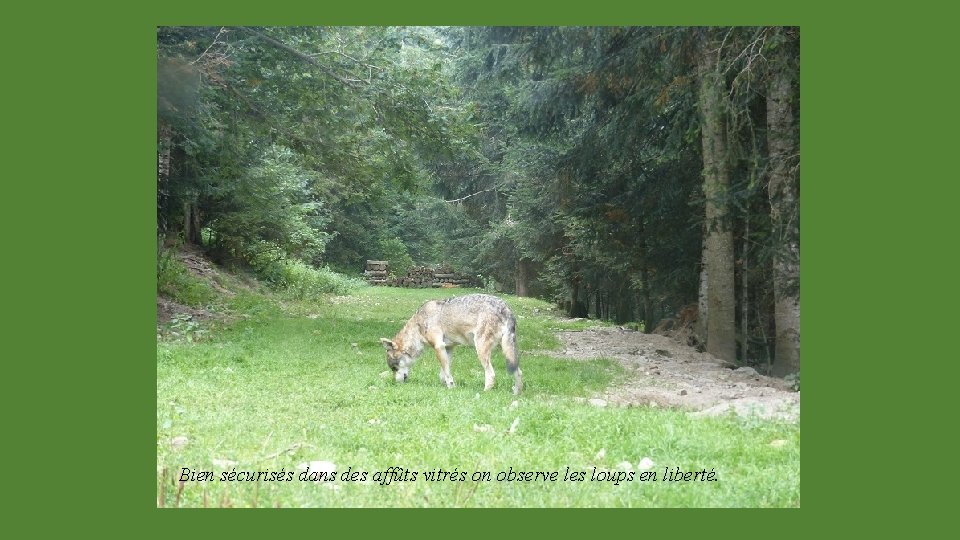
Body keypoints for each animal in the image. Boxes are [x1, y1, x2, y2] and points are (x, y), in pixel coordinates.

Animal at [378, 294, 520, 394]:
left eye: (394, 368)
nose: (396, 383)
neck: (418, 324)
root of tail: (506, 308)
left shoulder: (438, 346)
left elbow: (446, 372)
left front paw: (451, 387)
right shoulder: (448, 348)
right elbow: (443, 373)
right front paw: (446, 386)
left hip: (481, 350)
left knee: (491, 374)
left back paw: (484, 393)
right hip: (508, 352)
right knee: (518, 371)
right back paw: (516, 393)